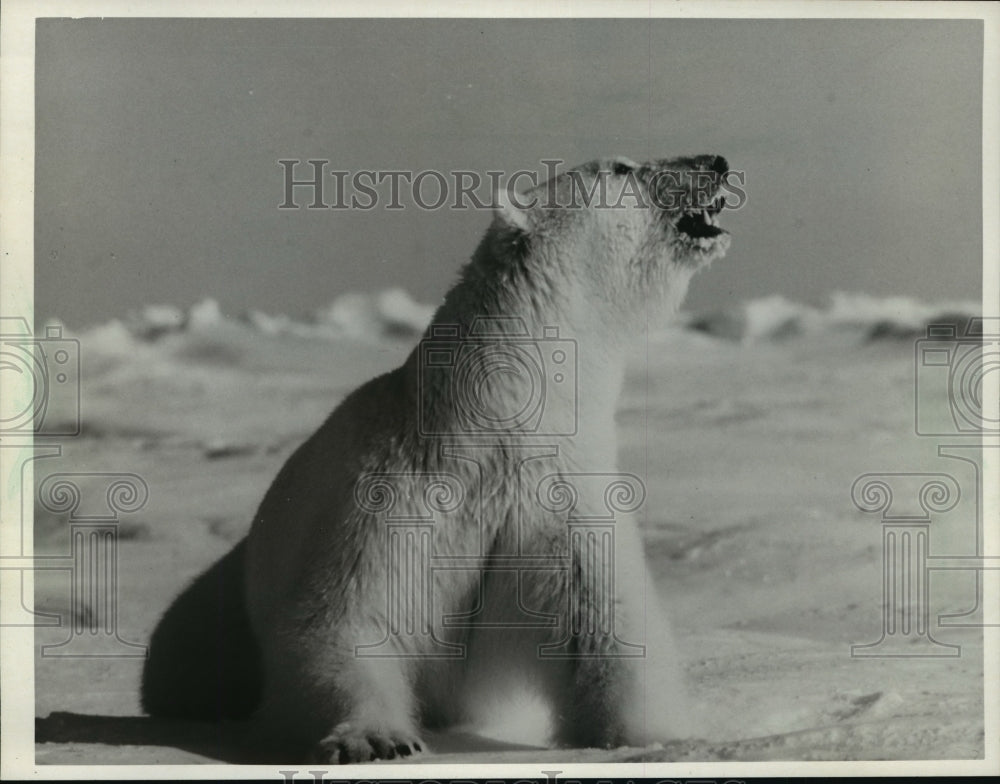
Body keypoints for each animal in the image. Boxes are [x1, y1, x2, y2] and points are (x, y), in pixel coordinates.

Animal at [141, 154, 734, 763]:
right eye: (619, 167)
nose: (716, 162)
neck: (488, 423)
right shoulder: (391, 499)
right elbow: (345, 619)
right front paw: (377, 740)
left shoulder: (555, 498)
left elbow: (597, 624)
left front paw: (656, 738)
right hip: (221, 604)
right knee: (185, 650)